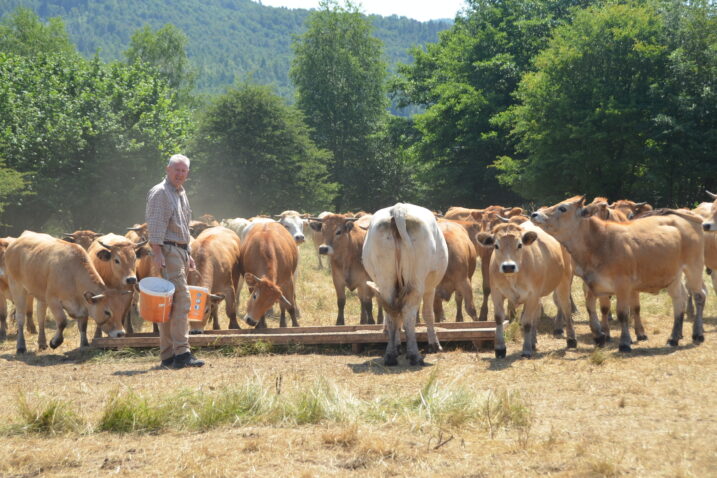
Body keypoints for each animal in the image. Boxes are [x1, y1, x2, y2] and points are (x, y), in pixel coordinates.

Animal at [364, 203, 448, 366]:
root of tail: (399, 210)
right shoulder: (430, 288)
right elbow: (428, 314)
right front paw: (434, 344)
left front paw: (397, 345)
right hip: (417, 280)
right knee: (409, 311)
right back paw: (414, 355)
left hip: (386, 281)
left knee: (391, 313)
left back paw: (390, 355)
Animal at [478, 222, 572, 356]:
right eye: (496, 245)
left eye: (519, 245)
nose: (508, 266)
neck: (513, 277)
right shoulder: (496, 293)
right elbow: (499, 319)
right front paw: (500, 348)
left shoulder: (532, 295)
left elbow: (527, 322)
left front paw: (526, 349)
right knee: (536, 315)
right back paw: (533, 341)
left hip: (564, 282)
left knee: (566, 308)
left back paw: (571, 340)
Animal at [532, 195, 704, 352]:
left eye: (563, 208)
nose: (535, 214)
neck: (600, 243)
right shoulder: (595, 283)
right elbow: (592, 308)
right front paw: (599, 336)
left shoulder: (623, 285)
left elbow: (622, 313)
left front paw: (625, 342)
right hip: (673, 274)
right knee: (679, 299)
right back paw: (674, 338)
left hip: (693, 268)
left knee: (699, 295)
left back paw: (697, 334)